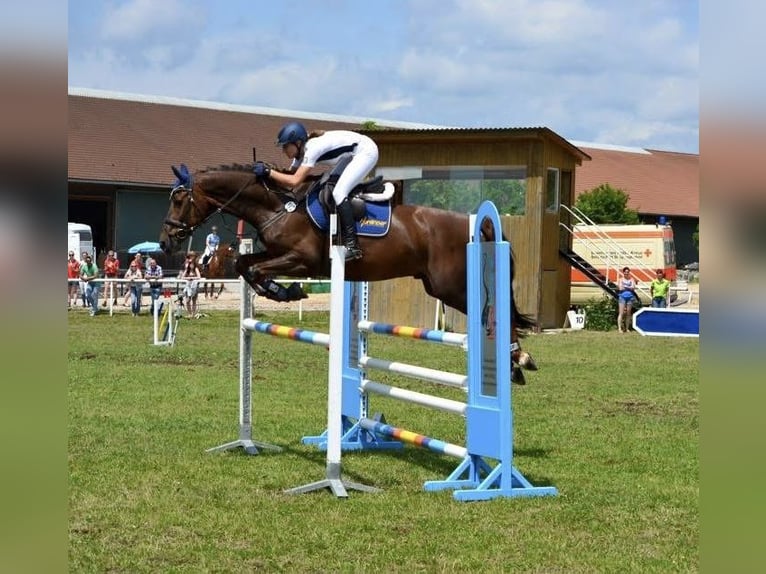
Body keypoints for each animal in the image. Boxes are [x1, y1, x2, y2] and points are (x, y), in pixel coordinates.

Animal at [158, 164, 536, 384]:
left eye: (178, 200)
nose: (165, 241)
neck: (278, 206)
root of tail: (476, 223)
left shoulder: (302, 261)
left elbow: (257, 269)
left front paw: (284, 291)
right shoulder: (278, 253)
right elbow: (243, 264)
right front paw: (283, 291)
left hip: (451, 287)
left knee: (494, 310)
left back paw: (519, 358)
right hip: (438, 286)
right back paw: (515, 362)